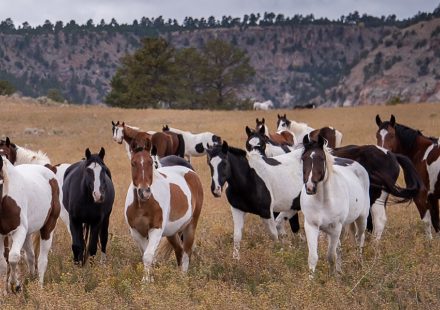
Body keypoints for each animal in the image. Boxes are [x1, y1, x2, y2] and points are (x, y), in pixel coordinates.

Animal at [0, 157, 60, 294]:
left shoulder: (19, 231)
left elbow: (13, 257)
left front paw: (14, 285)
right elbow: (3, 263)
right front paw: (5, 292)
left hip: (48, 227)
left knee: (42, 260)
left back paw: (39, 287)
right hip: (27, 234)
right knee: (31, 257)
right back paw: (31, 279)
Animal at [124, 145, 204, 280]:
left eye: (150, 162)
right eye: (133, 163)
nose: (144, 192)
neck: (142, 205)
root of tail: (191, 173)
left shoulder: (156, 229)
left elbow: (148, 255)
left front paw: (146, 281)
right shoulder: (136, 232)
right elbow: (145, 254)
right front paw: (149, 279)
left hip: (191, 225)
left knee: (187, 251)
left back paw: (183, 277)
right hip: (172, 232)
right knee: (179, 250)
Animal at [300, 136, 370, 278]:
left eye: (321, 158)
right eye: (303, 159)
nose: (310, 187)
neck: (322, 201)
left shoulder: (335, 228)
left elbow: (331, 255)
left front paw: (333, 276)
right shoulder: (311, 226)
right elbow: (313, 257)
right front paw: (310, 280)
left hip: (361, 219)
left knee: (360, 239)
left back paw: (359, 264)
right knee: (341, 247)